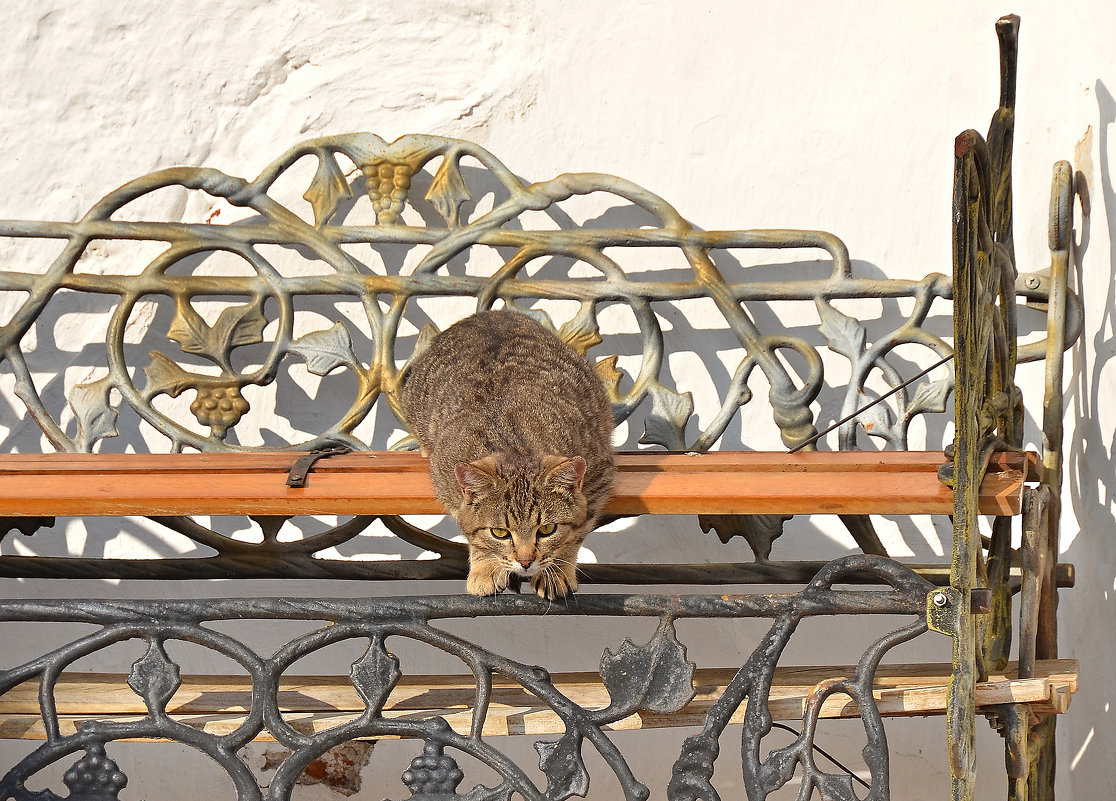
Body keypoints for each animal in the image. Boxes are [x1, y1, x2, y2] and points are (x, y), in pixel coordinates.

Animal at [397, 310, 616, 597]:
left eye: (547, 529)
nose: (525, 561)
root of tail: (488, 313)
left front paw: (557, 571)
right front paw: (487, 566)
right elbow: (475, 535)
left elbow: (576, 534)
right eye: (500, 532)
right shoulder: (446, 480)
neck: (515, 443)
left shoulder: (600, 474)